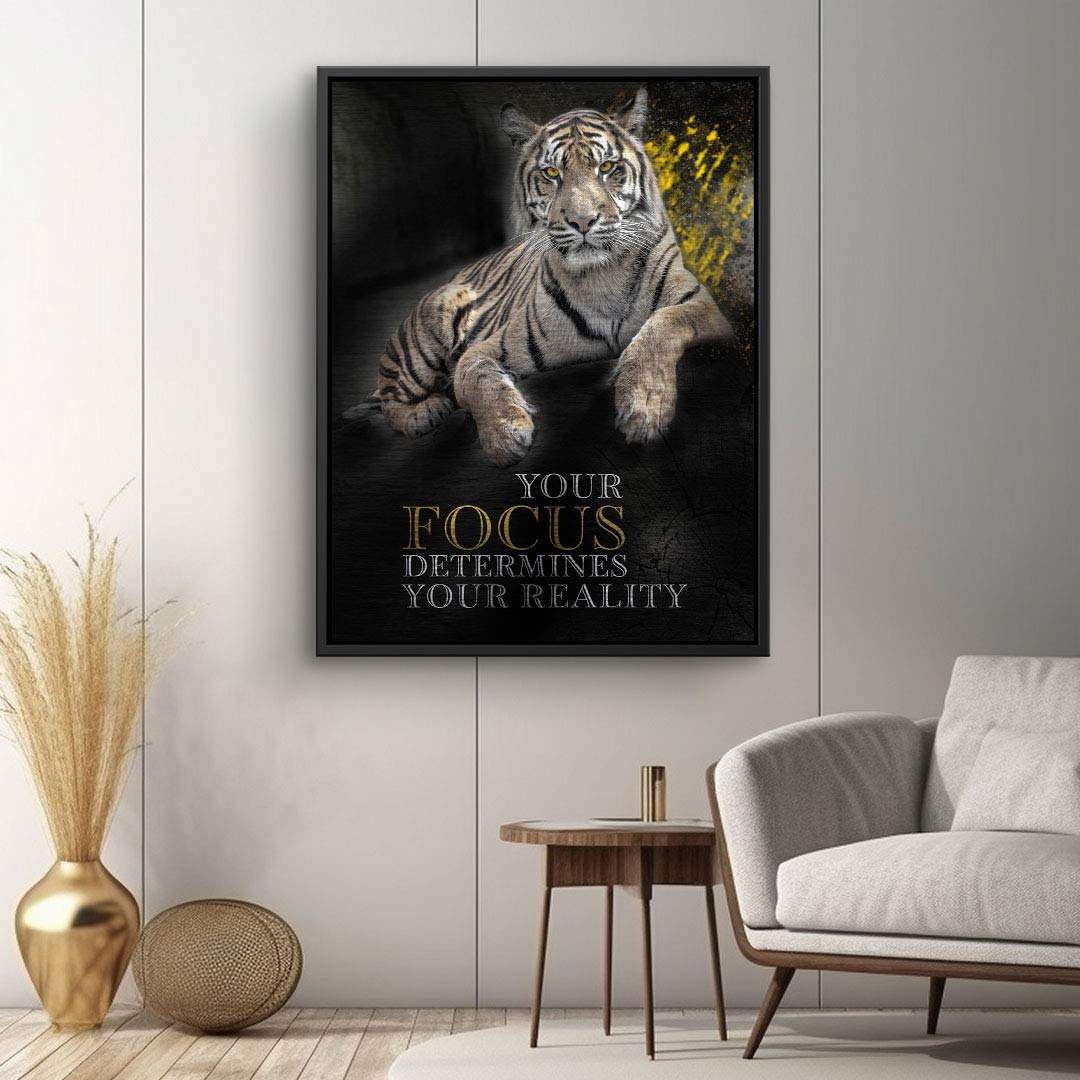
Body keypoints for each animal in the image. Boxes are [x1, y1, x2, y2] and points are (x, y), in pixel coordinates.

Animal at [353, 86, 732, 466]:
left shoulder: (706, 310)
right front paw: (504, 435)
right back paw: (424, 413)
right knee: (390, 399)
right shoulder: (490, 345)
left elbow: (663, 325)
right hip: (431, 325)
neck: (602, 277)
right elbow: (474, 378)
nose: (582, 221)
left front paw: (643, 407)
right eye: (551, 173)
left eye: (607, 167)